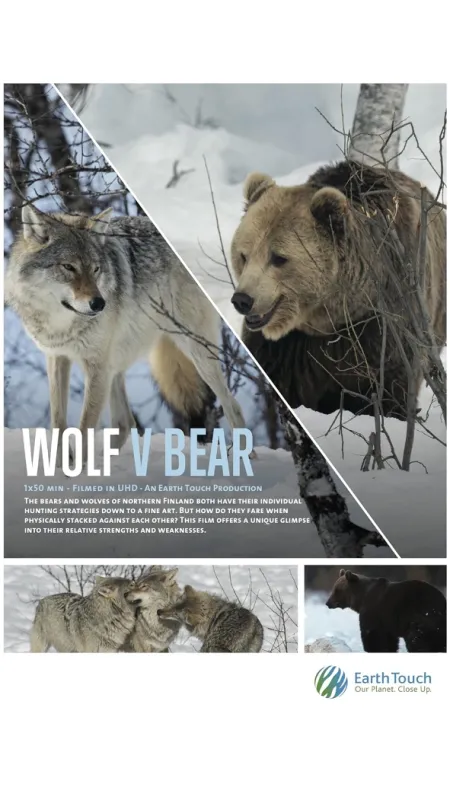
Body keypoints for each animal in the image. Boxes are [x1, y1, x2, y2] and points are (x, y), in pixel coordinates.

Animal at [6, 206, 246, 462]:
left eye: (95, 269)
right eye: (68, 267)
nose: (99, 303)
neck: (61, 324)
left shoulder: (96, 367)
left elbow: (84, 428)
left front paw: (76, 469)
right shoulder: (57, 357)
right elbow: (58, 423)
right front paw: (61, 466)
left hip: (196, 352)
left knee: (233, 406)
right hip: (117, 365)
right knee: (125, 423)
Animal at [230, 161, 446, 418]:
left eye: (278, 258)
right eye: (244, 255)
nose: (242, 299)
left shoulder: (383, 324)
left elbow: (388, 387)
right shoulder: (286, 349)